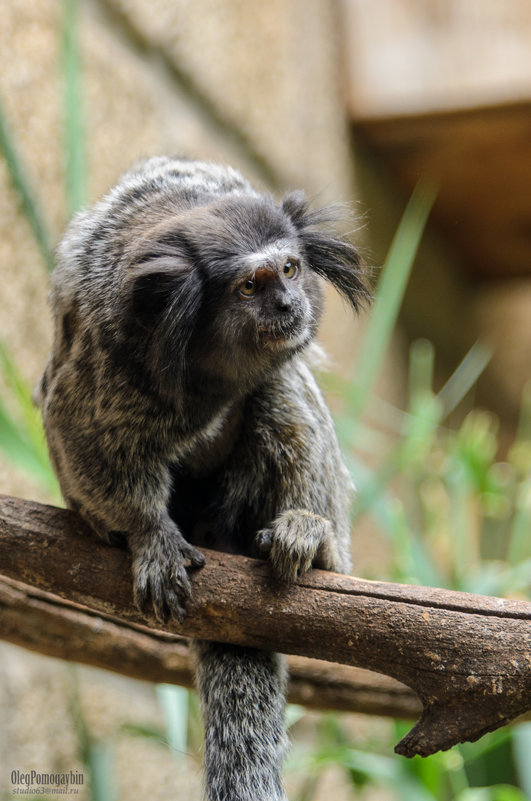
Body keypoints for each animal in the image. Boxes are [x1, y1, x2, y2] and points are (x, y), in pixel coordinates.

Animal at [38, 158, 370, 800]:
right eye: (251, 286)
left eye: (290, 269)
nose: (288, 304)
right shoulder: (107, 360)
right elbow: (80, 432)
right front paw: (149, 534)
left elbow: (287, 387)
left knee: (281, 390)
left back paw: (311, 537)